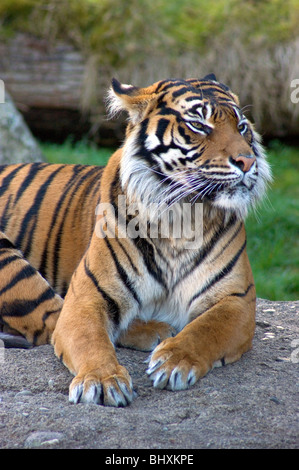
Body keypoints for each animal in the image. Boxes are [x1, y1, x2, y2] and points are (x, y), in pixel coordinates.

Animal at [0, 75, 274, 406]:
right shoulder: (85, 296)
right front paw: (102, 379)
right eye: (198, 124)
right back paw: (158, 329)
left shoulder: (238, 299)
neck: (183, 217)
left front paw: (174, 360)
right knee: (49, 320)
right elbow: (90, 338)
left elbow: (206, 329)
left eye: (242, 126)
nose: (247, 161)